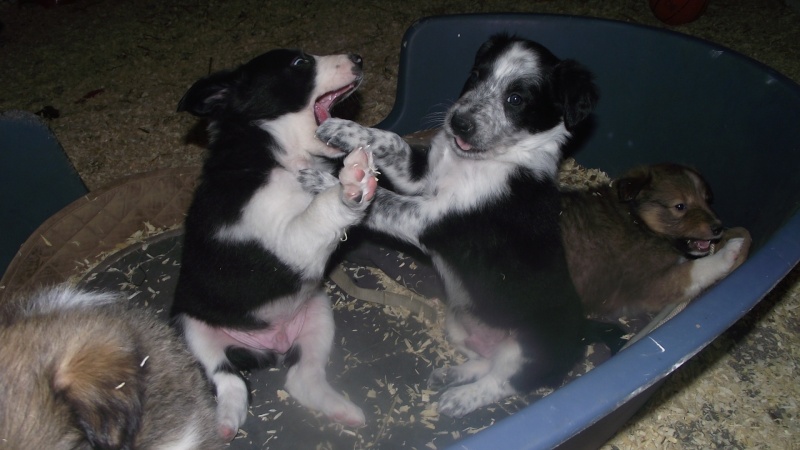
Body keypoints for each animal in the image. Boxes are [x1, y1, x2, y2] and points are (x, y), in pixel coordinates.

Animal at [170, 49, 376, 440]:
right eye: (299, 63)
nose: (358, 58)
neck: (275, 154)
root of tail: (270, 347)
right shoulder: (285, 241)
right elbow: (318, 211)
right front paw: (351, 185)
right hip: (192, 328)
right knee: (229, 379)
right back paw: (225, 422)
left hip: (317, 312)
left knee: (301, 376)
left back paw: (343, 411)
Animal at [310, 35, 604, 418]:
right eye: (476, 76)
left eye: (516, 99)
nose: (459, 122)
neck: (477, 161)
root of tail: (583, 333)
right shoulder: (419, 178)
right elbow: (393, 141)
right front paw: (345, 130)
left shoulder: (430, 219)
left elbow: (382, 201)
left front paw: (328, 187)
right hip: (459, 324)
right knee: (486, 361)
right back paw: (455, 374)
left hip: (528, 347)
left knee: (504, 381)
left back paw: (462, 399)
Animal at [560, 164, 752, 316]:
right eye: (680, 206)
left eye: (707, 200)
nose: (718, 228)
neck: (637, 221)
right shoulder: (647, 285)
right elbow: (693, 269)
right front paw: (729, 252)